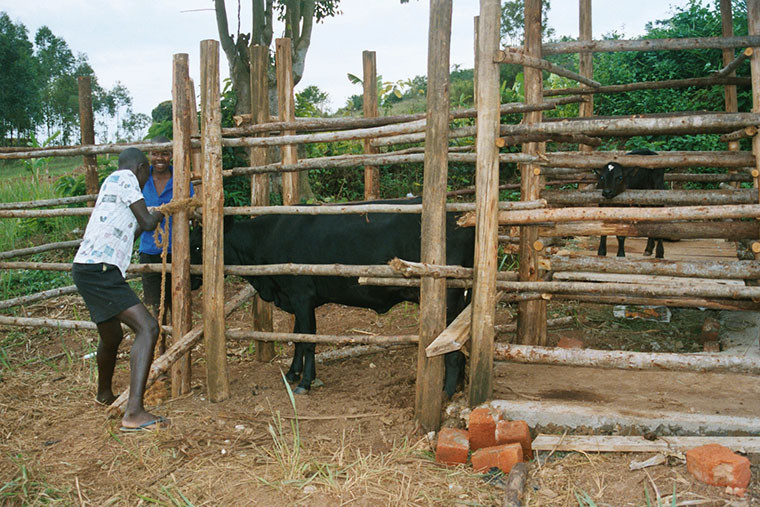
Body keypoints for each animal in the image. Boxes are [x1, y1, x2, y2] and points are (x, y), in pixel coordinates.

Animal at [189, 204, 476, 398]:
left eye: (199, 247)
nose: (190, 279)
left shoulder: (302, 295)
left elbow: (308, 340)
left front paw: (305, 382)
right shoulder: (296, 300)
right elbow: (298, 337)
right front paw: (292, 373)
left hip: (449, 296)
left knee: (451, 347)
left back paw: (446, 391)